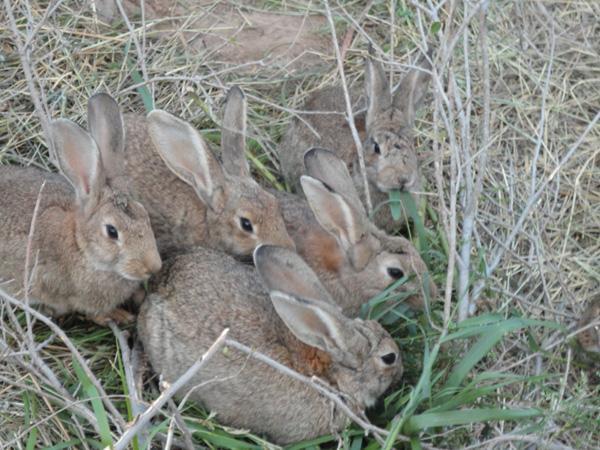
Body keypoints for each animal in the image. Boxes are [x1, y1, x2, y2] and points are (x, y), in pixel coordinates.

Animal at [0, 94, 161, 324]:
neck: (81, 246)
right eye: (112, 231)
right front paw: (118, 316)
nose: (154, 266)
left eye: (144, 214)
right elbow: (91, 312)